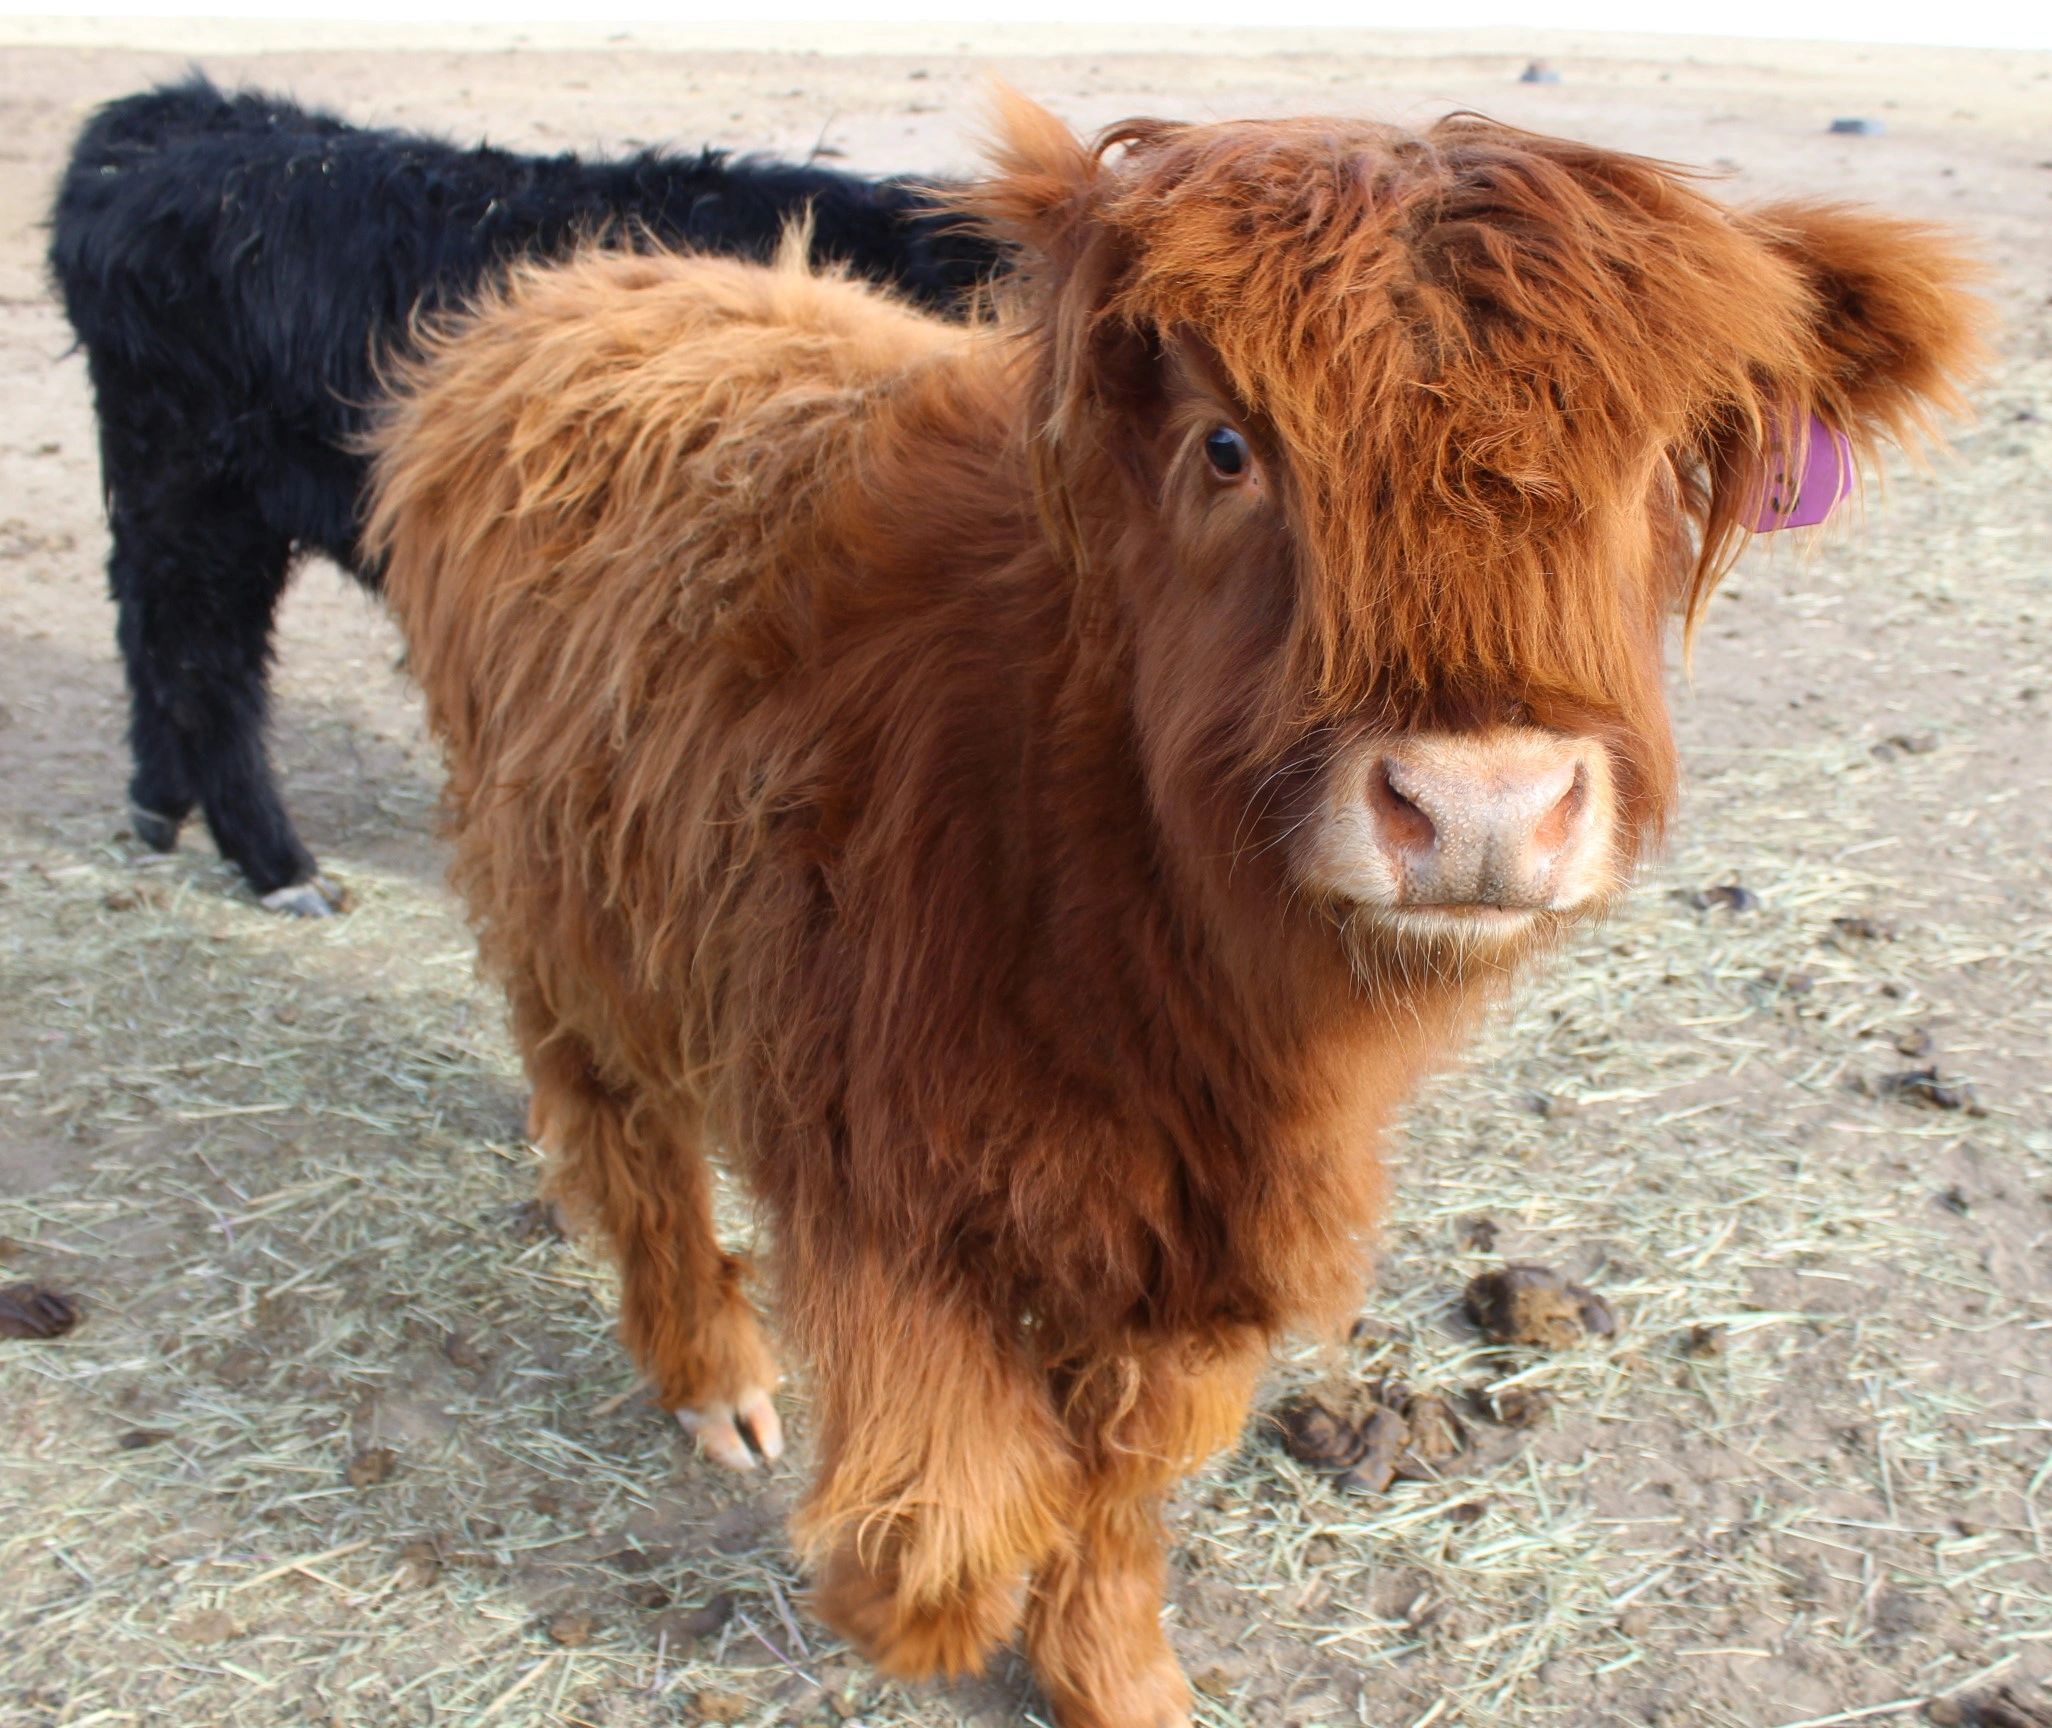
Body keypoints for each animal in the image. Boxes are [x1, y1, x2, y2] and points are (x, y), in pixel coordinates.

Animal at [50, 77, 1001, 915]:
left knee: (147, 626)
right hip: (200, 491)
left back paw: (157, 804)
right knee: (203, 663)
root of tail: (170, 119)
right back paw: (279, 866)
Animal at [365, 101, 1969, 1723]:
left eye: (1655, 468)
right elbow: (954, 1507)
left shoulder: (1203, 1217)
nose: (1481, 806)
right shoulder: (877, 1158)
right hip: (563, 911)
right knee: (626, 1134)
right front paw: (926, 1617)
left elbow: (1116, 1480)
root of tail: (584, 282)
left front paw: (1111, 1673)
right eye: (1229, 445)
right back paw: (714, 1372)